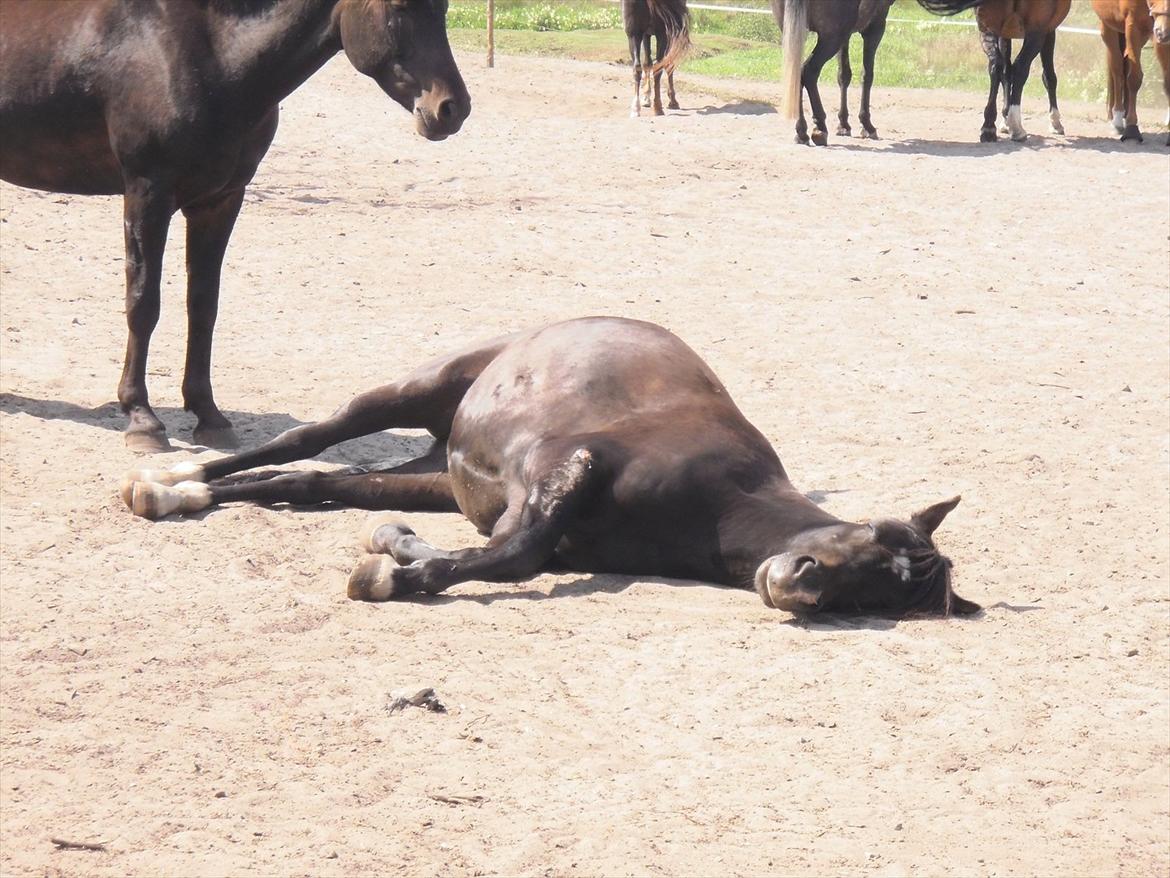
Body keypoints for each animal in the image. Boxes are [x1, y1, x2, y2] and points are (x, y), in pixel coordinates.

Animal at [0, 0, 470, 454]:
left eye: (445, 6)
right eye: (400, 7)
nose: (452, 109)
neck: (210, 53)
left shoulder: (220, 201)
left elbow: (204, 305)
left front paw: (208, 416)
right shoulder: (147, 194)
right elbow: (143, 304)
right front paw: (141, 418)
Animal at [121, 318, 978, 618]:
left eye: (875, 600)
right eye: (877, 541)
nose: (800, 583)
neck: (723, 503)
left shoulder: (522, 504)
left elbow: (501, 550)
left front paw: (399, 554)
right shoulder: (570, 464)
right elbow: (518, 554)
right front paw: (391, 573)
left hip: (434, 475)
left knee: (313, 483)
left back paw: (190, 494)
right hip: (412, 390)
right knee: (300, 443)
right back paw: (172, 482)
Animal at [776, 0, 893, 146]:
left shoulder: (846, 36)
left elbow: (844, 75)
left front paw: (843, 125)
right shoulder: (875, 26)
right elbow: (867, 75)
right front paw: (866, 125)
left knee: (797, 74)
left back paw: (802, 132)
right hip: (831, 38)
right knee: (809, 72)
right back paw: (820, 128)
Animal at [917, 0, 1071, 141]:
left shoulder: (1004, 33)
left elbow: (1006, 72)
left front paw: (1005, 121)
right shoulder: (1048, 30)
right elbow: (1048, 77)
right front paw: (1055, 123)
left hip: (988, 30)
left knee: (995, 66)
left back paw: (989, 127)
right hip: (1036, 34)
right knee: (1020, 68)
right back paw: (1016, 127)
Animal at [1090, 0, 1170, 142]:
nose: (1163, 32)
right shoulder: (1133, 26)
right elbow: (1134, 79)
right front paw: (1132, 127)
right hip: (1108, 26)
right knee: (1117, 70)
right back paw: (1117, 118)